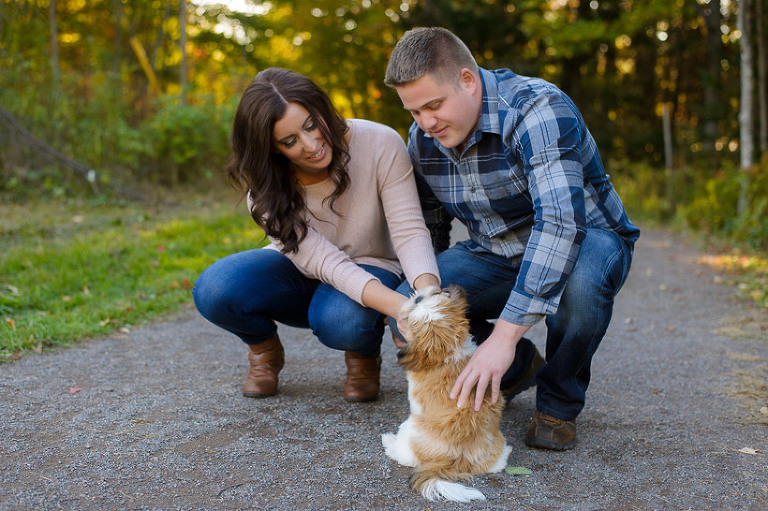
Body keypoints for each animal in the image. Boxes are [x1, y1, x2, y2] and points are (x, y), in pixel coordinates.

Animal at [382, 288, 512, 504]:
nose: (418, 297)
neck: (449, 350)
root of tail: (458, 458)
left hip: (411, 427)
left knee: (406, 454)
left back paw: (390, 443)